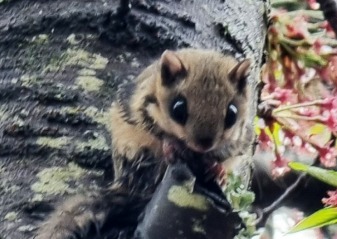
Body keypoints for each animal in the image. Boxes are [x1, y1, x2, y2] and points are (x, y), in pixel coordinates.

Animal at [36, 47, 252, 238]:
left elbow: (225, 154)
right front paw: (171, 146)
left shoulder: (240, 140)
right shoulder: (141, 109)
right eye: (178, 109)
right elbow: (160, 134)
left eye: (232, 114)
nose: (203, 144)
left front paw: (217, 170)